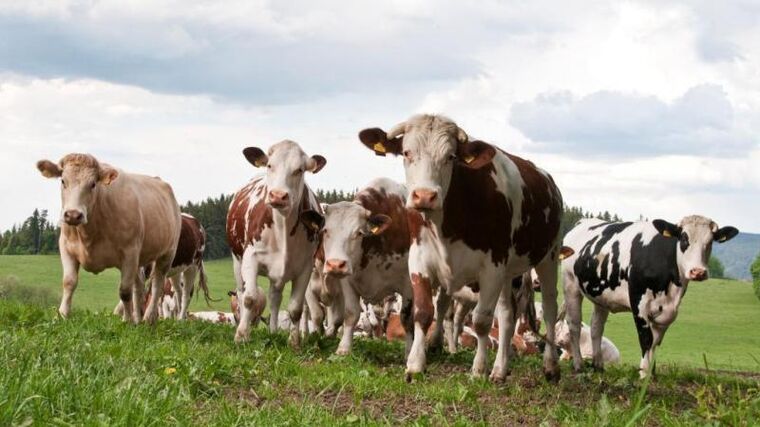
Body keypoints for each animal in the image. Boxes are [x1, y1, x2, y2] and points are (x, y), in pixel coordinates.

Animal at [37, 154, 182, 324]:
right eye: (63, 181)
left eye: (93, 184)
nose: (73, 215)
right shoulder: (66, 248)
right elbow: (69, 282)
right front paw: (62, 315)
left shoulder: (130, 252)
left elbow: (124, 291)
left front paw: (127, 321)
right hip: (139, 260)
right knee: (138, 286)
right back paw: (138, 319)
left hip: (167, 253)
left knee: (157, 284)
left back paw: (148, 318)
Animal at [223, 140, 324, 348]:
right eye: (270, 165)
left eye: (299, 170)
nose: (278, 195)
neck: (282, 226)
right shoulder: (250, 258)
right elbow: (250, 298)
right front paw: (241, 336)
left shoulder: (305, 267)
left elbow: (295, 308)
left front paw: (294, 342)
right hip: (237, 261)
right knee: (241, 293)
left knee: (275, 299)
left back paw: (273, 331)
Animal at [358, 113, 564, 382]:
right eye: (406, 152)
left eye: (451, 156)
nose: (424, 196)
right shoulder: (419, 260)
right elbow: (423, 313)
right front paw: (415, 364)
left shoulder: (492, 267)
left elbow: (482, 321)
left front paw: (478, 369)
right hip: (509, 273)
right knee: (507, 317)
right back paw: (500, 370)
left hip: (548, 256)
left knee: (549, 308)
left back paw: (550, 366)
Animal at [560, 217, 740, 378]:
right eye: (683, 238)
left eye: (710, 241)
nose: (698, 272)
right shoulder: (639, 304)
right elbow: (646, 339)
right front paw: (643, 374)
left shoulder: (667, 312)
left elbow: (656, 342)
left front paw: (651, 373)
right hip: (570, 284)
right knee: (574, 324)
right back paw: (578, 365)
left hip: (601, 297)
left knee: (596, 328)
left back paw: (598, 366)